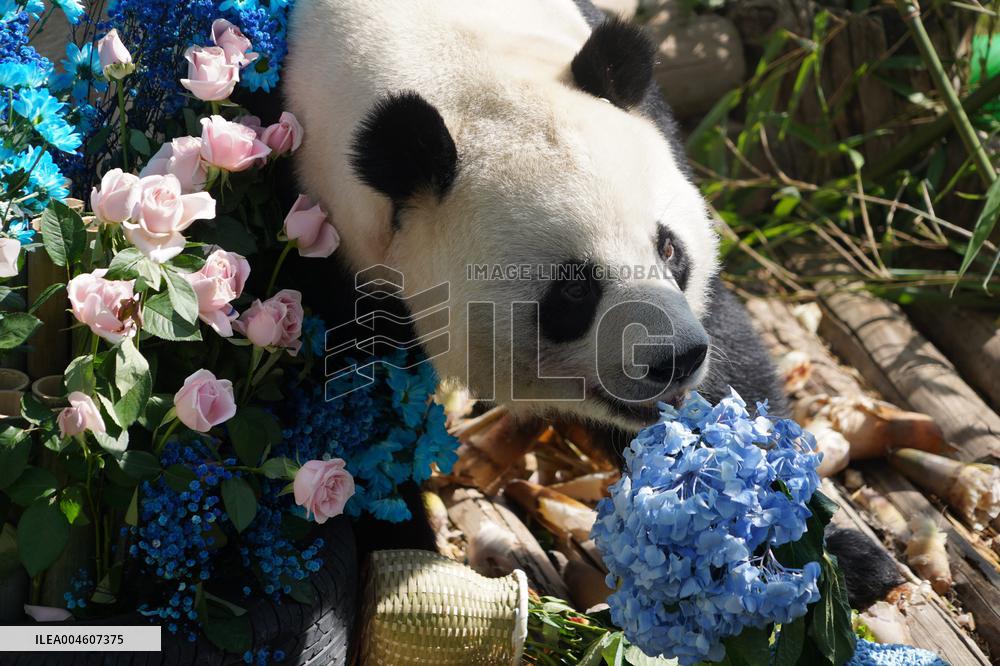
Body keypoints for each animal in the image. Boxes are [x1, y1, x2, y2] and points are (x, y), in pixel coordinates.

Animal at [283, 0, 902, 610]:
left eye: (669, 248)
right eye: (574, 289)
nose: (674, 359)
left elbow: (730, 378)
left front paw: (823, 554)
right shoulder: (324, 235)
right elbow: (350, 417)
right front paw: (402, 550)